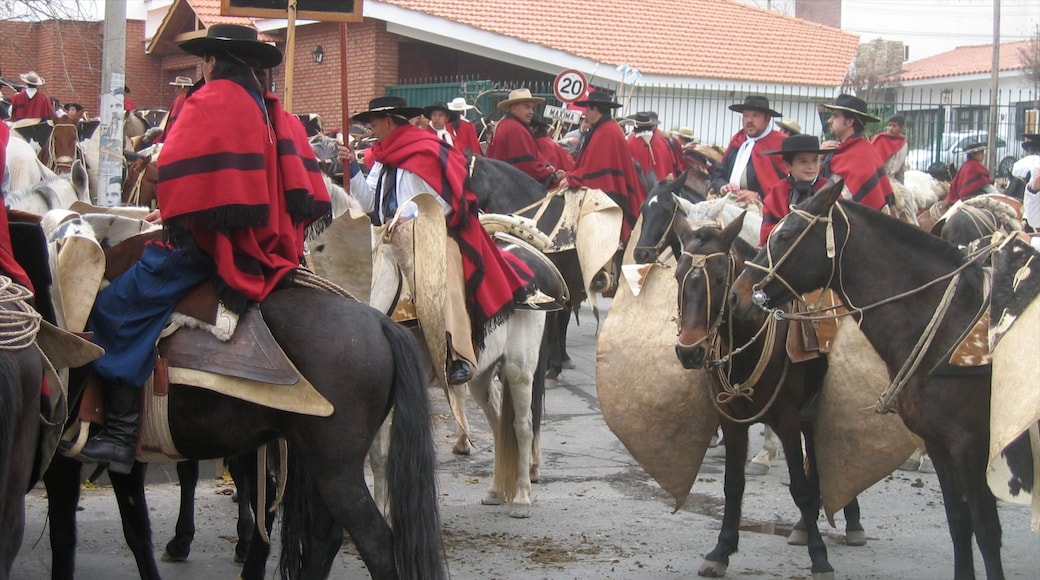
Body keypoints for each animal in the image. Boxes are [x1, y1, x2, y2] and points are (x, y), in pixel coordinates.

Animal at [43, 291, 447, 580]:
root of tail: (380, 322)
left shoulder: (72, 460)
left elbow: (88, 533)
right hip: (319, 463)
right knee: (324, 538)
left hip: (335, 469)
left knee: (375, 543)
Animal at [673, 216, 861, 577]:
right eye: (678, 275)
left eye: (720, 278)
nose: (689, 351)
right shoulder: (731, 421)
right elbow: (733, 484)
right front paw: (722, 550)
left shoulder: (786, 418)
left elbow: (799, 487)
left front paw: (819, 558)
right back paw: (803, 526)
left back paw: (851, 522)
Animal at [728, 179, 1027, 577]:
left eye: (786, 235)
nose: (737, 295)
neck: (951, 326)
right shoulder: (940, 443)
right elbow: (959, 523)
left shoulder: (971, 444)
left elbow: (987, 531)